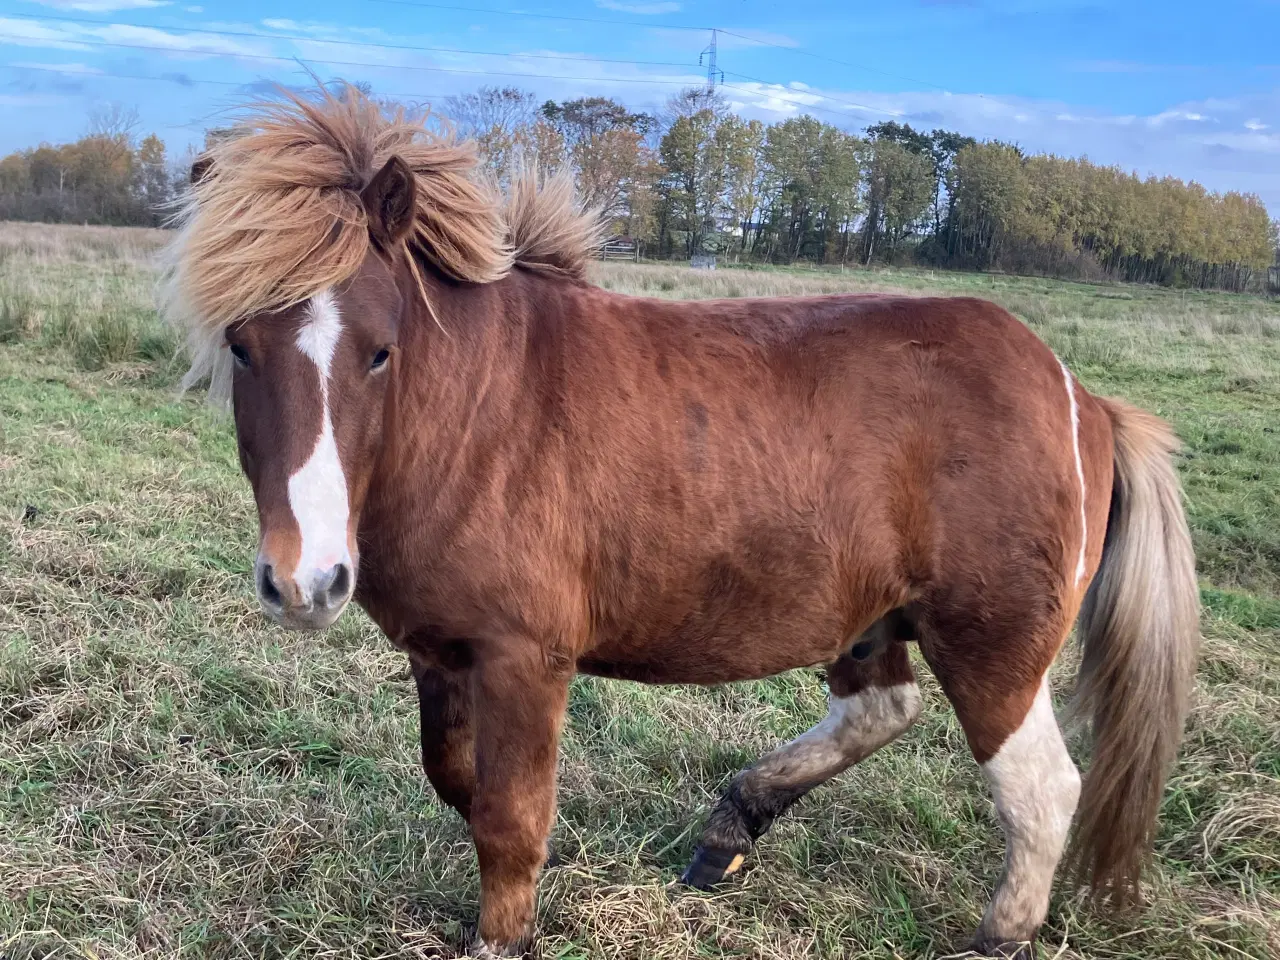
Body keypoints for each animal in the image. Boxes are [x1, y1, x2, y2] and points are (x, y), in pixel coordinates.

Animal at [167, 86, 1198, 957]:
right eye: (241, 346)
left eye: (380, 352)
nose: (305, 581)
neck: (474, 416)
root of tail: (1086, 401)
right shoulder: (441, 654)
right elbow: (460, 786)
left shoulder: (524, 659)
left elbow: (508, 819)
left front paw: (504, 937)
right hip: (873, 617)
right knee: (880, 711)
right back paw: (731, 825)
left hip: (993, 647)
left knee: (1041, 793)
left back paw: (996, 934)